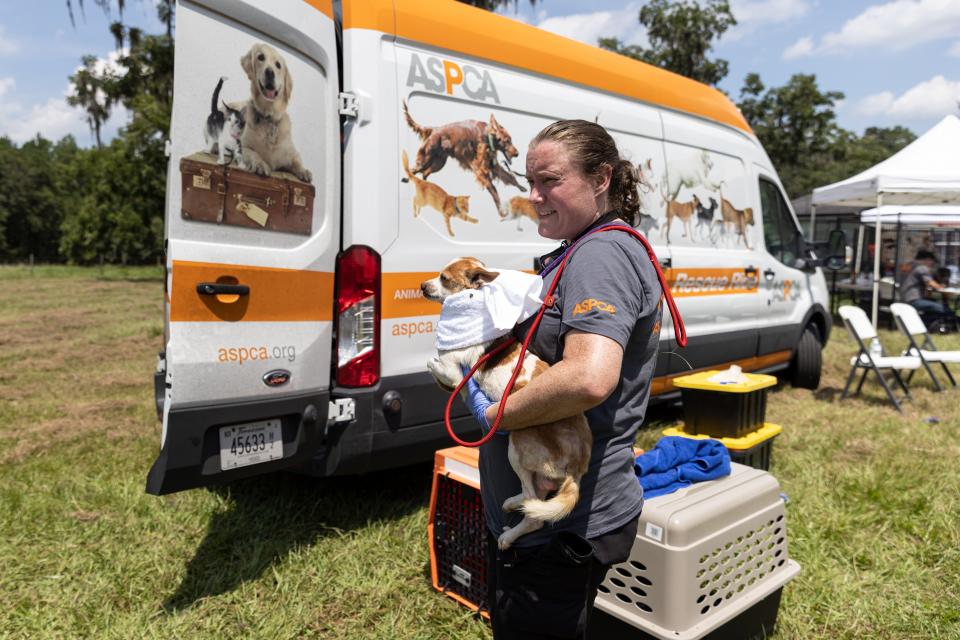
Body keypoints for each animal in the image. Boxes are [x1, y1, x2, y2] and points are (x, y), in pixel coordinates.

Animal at [238, 42, 314, 182]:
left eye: (278, 65)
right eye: (260, 57)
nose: (269, 72)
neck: (269, 115)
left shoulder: (291, 154)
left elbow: (297, 161)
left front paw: (304, 171)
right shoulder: (243, 147)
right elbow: (253, 153)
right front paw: (261, 164)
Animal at [422, 256, 588, 552]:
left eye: (444, 279)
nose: (421, 286)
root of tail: (578, 466)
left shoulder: (455, 374)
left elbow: (434, 364)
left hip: (518, 446)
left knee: (535, 511)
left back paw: (510, 535)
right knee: (533, 496)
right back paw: (515, 502)